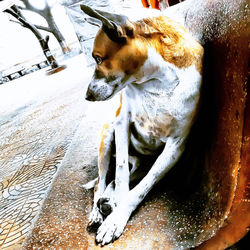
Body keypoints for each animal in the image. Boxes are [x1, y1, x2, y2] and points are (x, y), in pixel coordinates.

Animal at [80, 4, 203, 246]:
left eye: (97, 59)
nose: (87, 96)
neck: (157, 81)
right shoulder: (121, 121)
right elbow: (120, 173)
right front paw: (114, 211)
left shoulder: (176, 146)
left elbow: (142, 186)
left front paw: (118, 215)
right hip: (107, 137)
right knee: (101, 181)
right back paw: (99, 209)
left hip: (140, 162)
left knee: (121, 178)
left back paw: (108, 202)